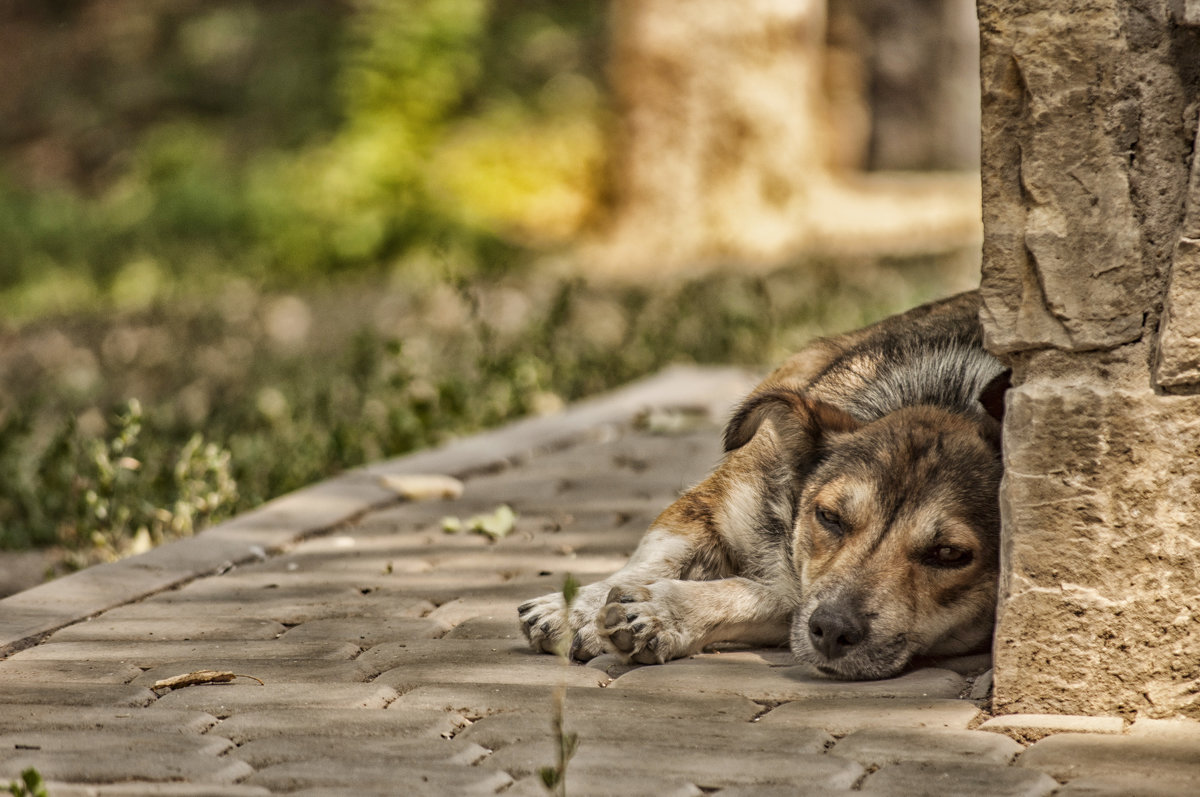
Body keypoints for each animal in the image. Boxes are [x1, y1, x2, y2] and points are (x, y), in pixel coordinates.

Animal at [516, 292, 1003, 676]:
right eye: (829, 517)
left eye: (949, 554)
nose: (833, 630)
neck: (945, 399)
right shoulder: (708, 504)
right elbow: (651, 559)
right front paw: (574, 608)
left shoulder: (794, 601)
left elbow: (768, 595)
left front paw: (663, 614)